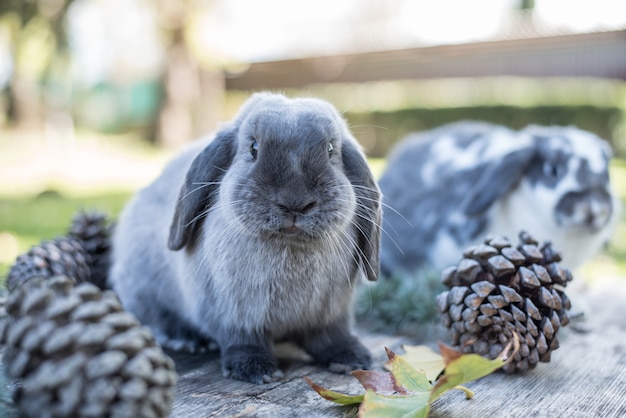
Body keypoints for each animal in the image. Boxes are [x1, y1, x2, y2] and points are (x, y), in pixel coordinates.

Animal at [108, 93, 380, 384]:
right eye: (253, 148)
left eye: (330, 150)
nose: (295, 203)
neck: (288, 244)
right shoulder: (234, 314)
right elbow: (242, 340)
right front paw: (256, 369)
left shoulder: (329, 314)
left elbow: (331, 337)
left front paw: (351, 358)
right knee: (159, 319)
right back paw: (188, 339)